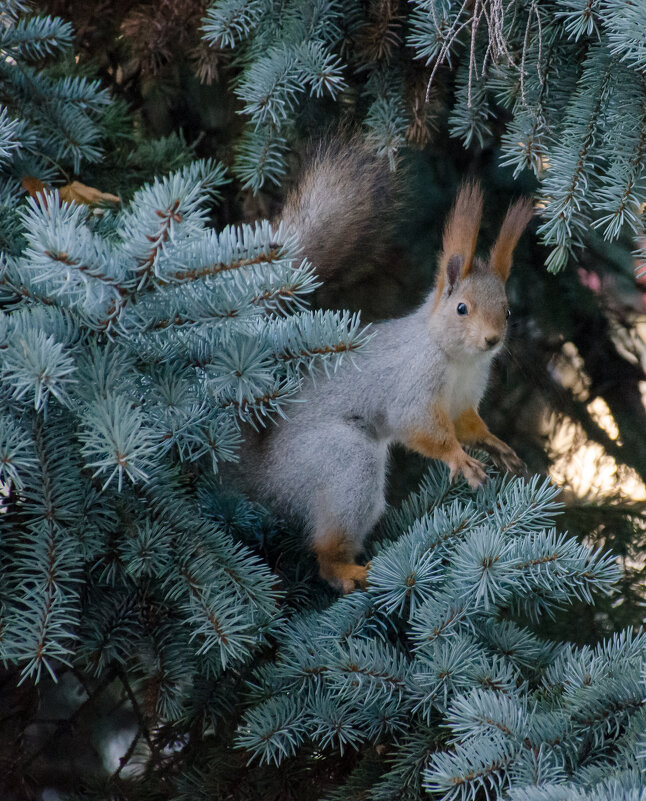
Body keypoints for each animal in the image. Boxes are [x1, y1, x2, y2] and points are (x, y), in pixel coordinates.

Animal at [235, 138, 536, 592]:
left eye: (507, 309)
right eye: (462, 308)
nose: (493, 340)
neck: (459, 360)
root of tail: (259, 475)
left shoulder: (464, 399)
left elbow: (468, 424)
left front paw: (494, 444)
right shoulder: (413, 382)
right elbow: (419, 426)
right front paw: (459, 459)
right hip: (338, 461)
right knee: (327, 547)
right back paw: (347, 571)